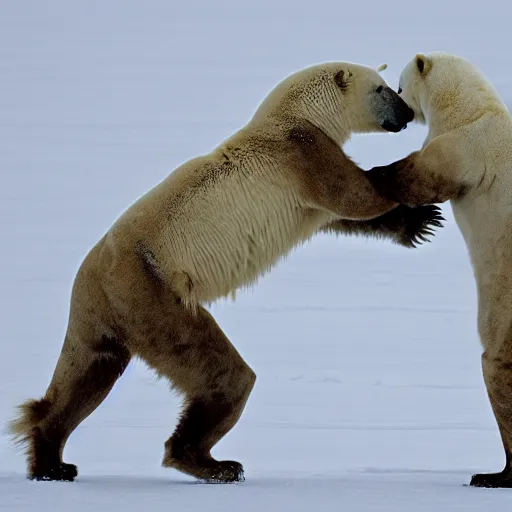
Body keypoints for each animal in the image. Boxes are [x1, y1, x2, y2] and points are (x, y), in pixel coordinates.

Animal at [9, 60, 444, 484]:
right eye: (382, 89)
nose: (407, 114)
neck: (298, 112)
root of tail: (93, 274)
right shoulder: (301, 153)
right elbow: (354, 195)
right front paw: (410, 185)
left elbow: (340, 216)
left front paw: (421, 223)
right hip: (153, 289)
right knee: (222, 372)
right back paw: (214, 463)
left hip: (101, 310)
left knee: (89, 372)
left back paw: (52, 461)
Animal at [366, 51, 512, 488]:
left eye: (399, 86)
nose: (402, 111)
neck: (471, 108)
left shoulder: (466, 151)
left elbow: (420, 177)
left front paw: (375, 172)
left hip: (502, 308)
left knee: (496, 365)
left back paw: (494, 474)